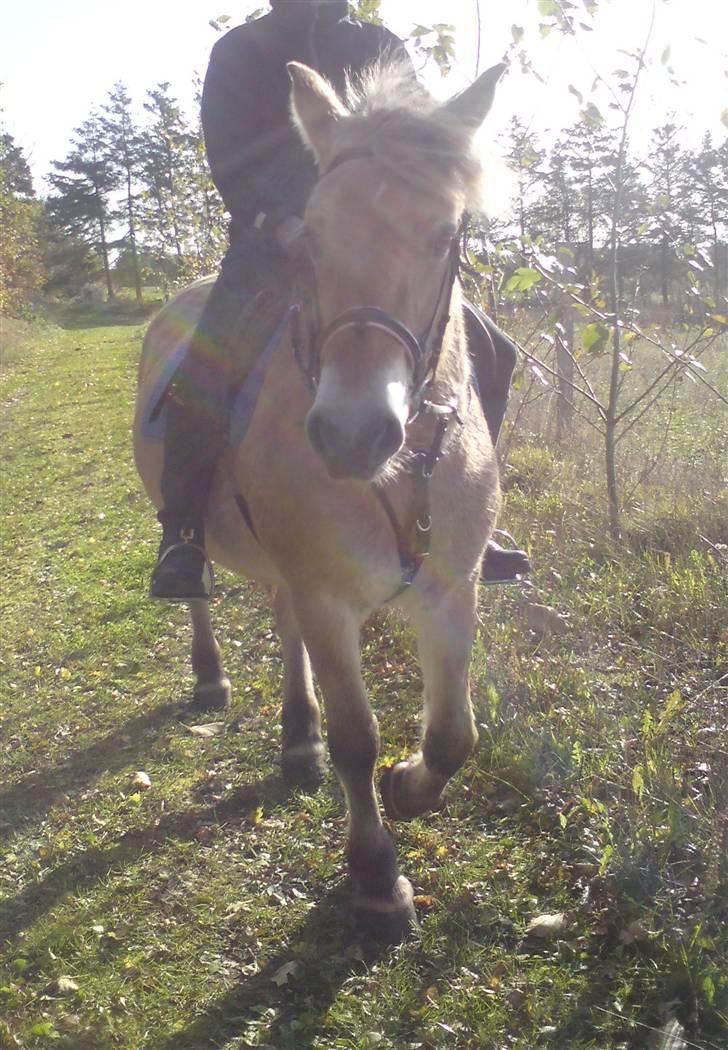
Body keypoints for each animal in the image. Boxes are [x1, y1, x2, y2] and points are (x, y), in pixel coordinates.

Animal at [133, 59, 502, 944]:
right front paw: (375, 879)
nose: (352, 433)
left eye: (444, 237)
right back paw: (211, 677)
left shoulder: (453, 588)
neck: (402, 469)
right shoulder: (329, 596)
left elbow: (454, 734)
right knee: (199, 591)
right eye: (312, 238)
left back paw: (294, 738)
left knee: (280, 621)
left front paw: (412, 786)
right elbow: (357, 739)